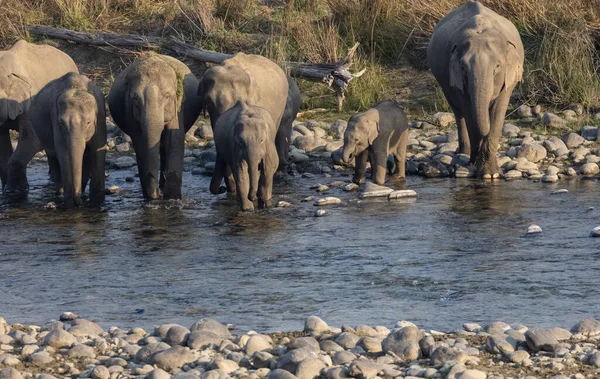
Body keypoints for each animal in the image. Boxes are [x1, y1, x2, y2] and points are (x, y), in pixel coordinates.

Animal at [29, 72, 108, 206]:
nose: (78, 202)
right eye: (62, 123)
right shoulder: (55, 118)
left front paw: (96, 200)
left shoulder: (101, 118)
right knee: (53, 156)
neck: (76, 87)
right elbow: (63, 154)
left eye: (88, 122)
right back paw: (60, 193)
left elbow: (97, 152)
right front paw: (69, 202)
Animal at [108, 55, 202, 202]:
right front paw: (152, 198)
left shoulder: (178, 107)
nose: (155, 195)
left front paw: (172, 198)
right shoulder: (129, 110)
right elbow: (140, 142)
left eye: (167, 96)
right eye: (136, 98)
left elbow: (174, 139)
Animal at [428, 0, 524, 180]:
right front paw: (478, 167)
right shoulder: (457, 79)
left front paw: (490, 174)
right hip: (444, 82)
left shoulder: (507, 82)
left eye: (497, 66)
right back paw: (464, 153)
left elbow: (498, 113)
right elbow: (468, 112)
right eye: (463, 68)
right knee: (458, 112)